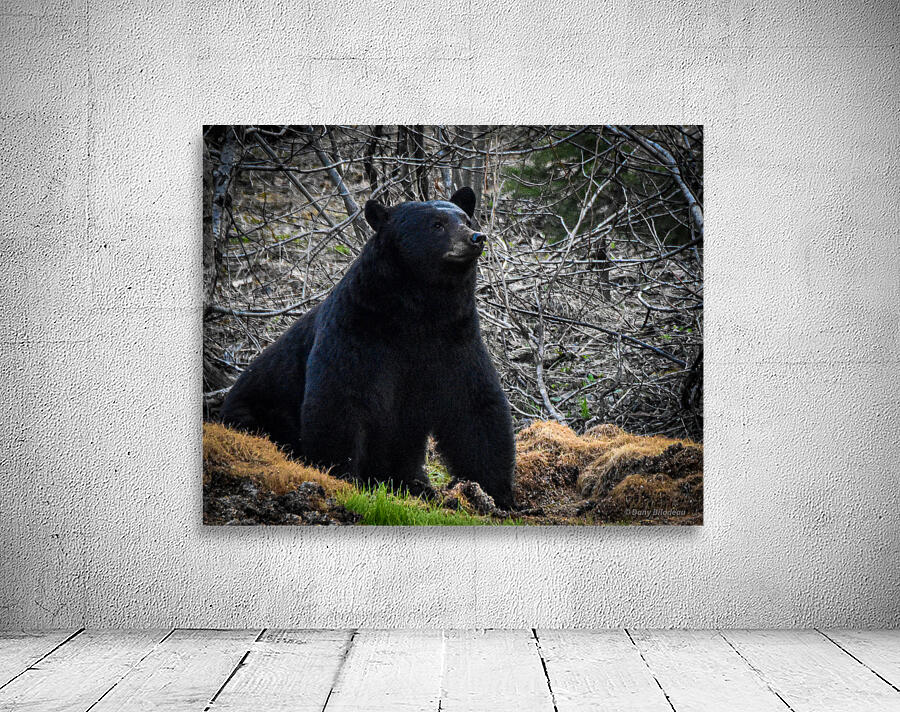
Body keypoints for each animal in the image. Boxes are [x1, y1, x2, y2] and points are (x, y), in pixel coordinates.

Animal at [219, 187, 516, 509]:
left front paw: (498, 494)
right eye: (436, 224)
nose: (476, 237)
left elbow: (474, 404)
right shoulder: (357, 330)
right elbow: (339, 399)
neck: (419, 311)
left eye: (464, 218)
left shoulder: (455, 338)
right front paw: (340, 478)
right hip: (257, 411)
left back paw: (417, 485)